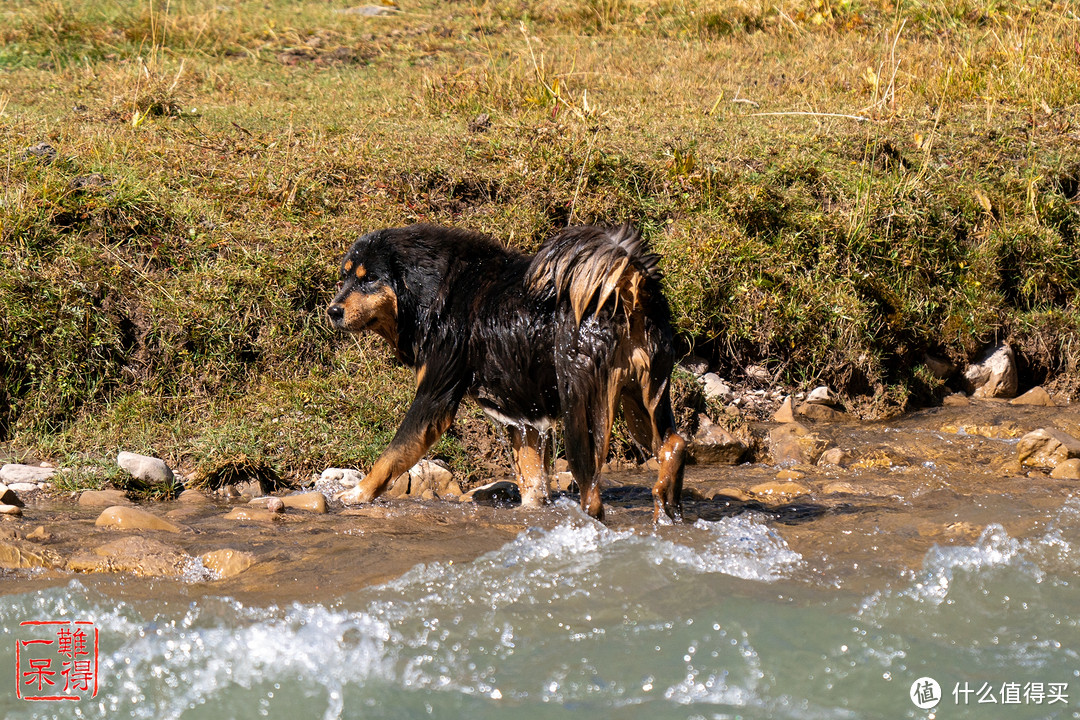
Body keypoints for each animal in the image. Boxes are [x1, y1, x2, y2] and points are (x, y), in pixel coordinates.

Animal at [324, 222, 686, 520]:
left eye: (370, 278)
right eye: (345, 277)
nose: (332, 311)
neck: (440, 289)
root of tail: (625, 284)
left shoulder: (434, 398)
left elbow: (391, 454)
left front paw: (356, 495)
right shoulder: (522, 413)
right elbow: (532, 478)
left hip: (582, 409)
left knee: (593, 495)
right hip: (642, 399)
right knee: (675, 444)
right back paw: (666, 508)